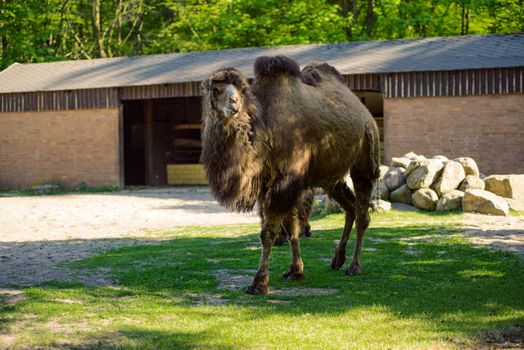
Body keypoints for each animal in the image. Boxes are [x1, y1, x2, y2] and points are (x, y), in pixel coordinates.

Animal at [202, 56, 380, 294]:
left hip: (365, 156)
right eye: (216, 89)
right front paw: (296, 271)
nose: (234, 103)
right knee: (349, 207)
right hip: (330, 176)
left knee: (362, 212)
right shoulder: (270, 184)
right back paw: (337, 259)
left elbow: (269, 232)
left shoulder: (287, 180)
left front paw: (259, 282)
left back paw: (354, 266)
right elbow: (291, 229)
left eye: (242, 90)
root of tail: (365, 111)